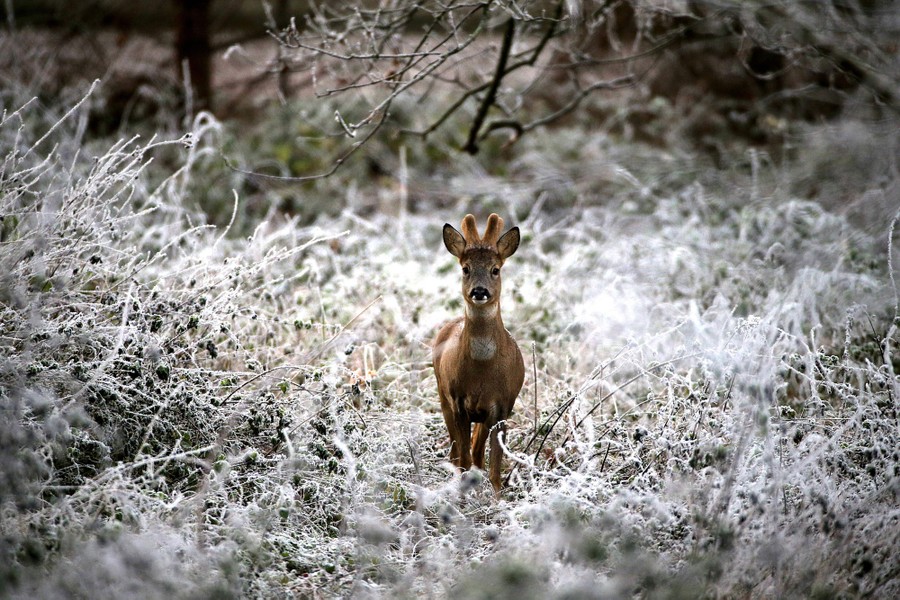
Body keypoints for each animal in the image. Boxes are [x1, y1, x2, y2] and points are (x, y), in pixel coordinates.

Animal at [432, 213, 525, 495]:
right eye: (466, 269)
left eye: (496, 269)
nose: (480, 291)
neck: (483, 371)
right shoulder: (458, 401)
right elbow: (462, 459)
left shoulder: (503, 405)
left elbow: (494, 468)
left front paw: (496, 498)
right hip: (442, 395)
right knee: (457, 453)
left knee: (476, 452)